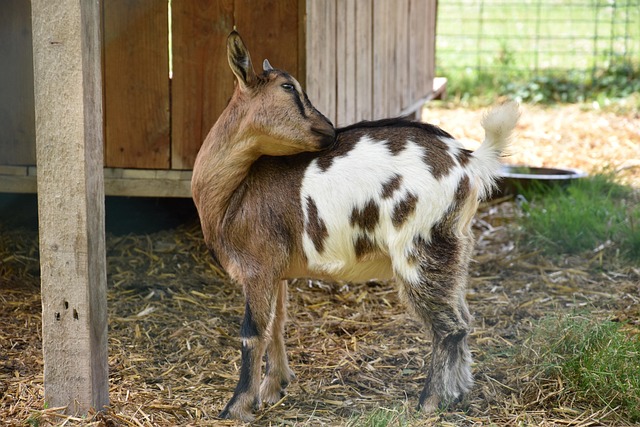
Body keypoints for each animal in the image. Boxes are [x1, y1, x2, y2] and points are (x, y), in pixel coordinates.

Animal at [191, 30, 520, 421]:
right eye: (288, 87)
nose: (330, 130)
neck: (235, 191)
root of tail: (469, 161)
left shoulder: (257, 266)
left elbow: (252, 332)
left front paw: (237, 406)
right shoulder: (276, 269)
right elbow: (277, 324)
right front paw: (274, 388)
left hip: (420, 248)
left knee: (449, 327)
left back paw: (429, 402)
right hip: (455, 249)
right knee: (464, 319)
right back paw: (458, 393)